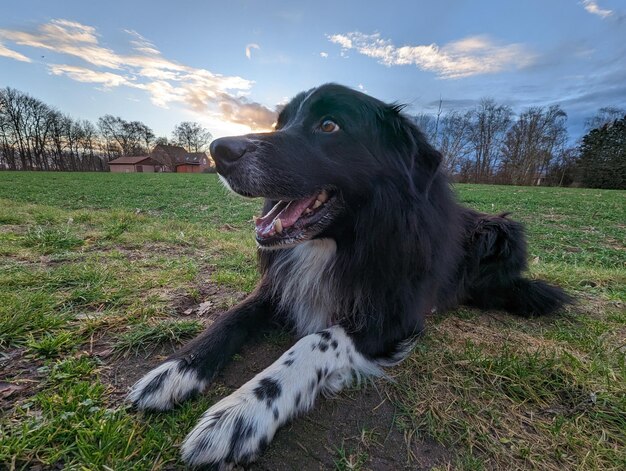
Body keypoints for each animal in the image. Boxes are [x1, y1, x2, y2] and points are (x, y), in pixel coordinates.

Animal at [128, 84, 572, 468]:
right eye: (281, 122)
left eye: (329, 126)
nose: (218, 150)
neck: (342, 243)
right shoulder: (280, 286)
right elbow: (232, 316)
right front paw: (178, 368)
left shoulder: (395, 318)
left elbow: (316, 341)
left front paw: (243, 411)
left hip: (501, 232)